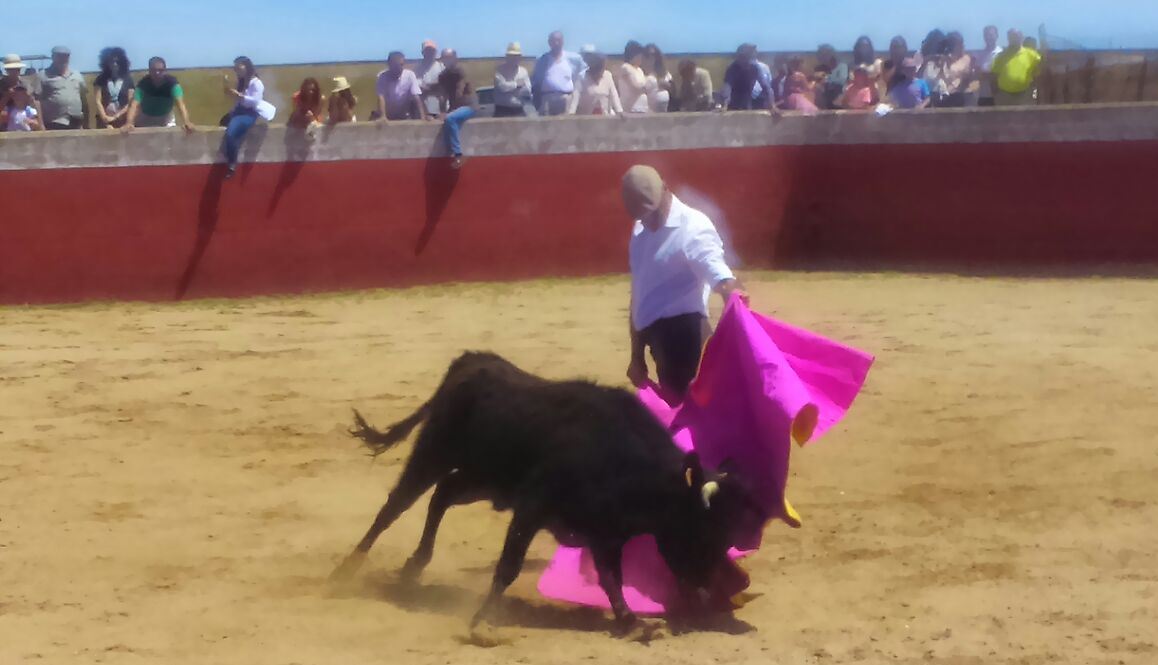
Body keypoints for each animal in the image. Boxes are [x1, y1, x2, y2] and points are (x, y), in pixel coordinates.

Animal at [330, 351, 765, 630]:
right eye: (703, 530)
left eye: (729, 532)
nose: (710, 595)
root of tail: (470, 361)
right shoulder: (533, 507)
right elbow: (510, 563)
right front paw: (483, 622)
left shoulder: (605, 532)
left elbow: (611, 576)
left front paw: (629, 620)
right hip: (432, 453)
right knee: (396, 505)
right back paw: (345, 570)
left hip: (482, 480)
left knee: (443, 494)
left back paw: (414, 566)